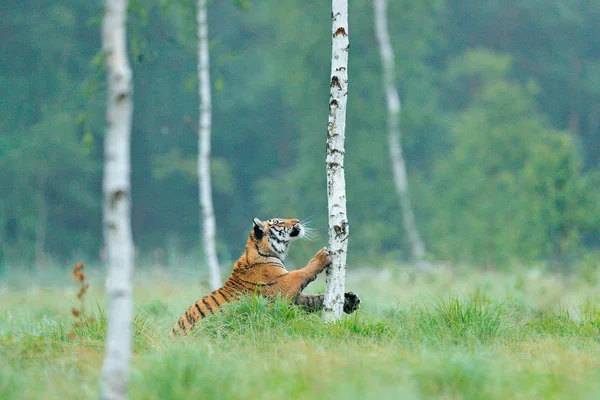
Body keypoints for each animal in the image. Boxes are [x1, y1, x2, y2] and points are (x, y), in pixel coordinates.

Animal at [169, 217, 360, 336]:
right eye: (278, 222)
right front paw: (322, 255)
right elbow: (302, 272)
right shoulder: (283, 285)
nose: (298, 221)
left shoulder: (292, 300)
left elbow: (313, 299)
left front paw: (350, 300)